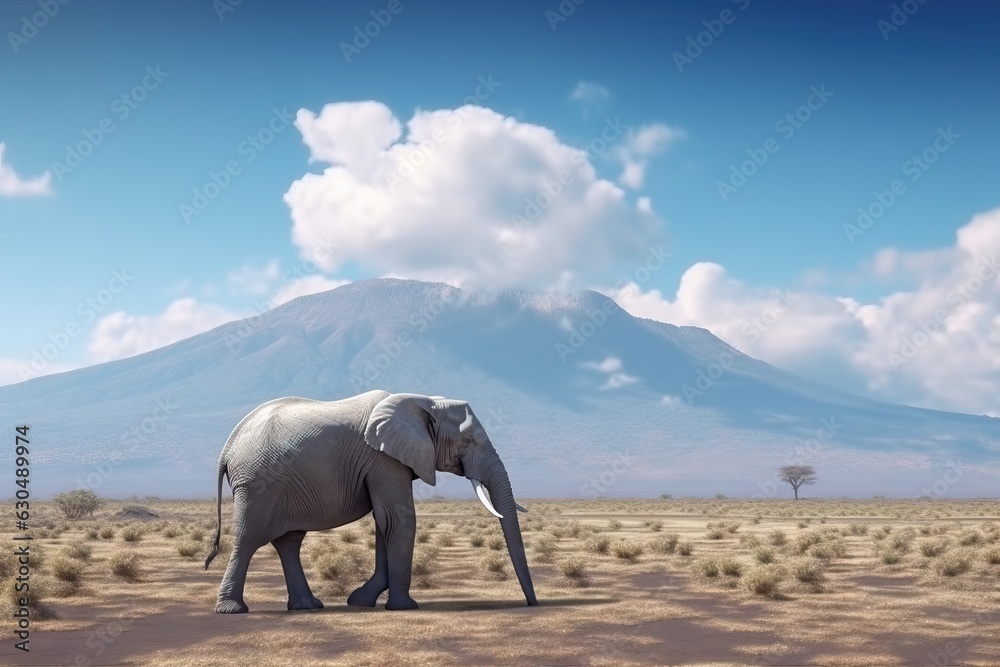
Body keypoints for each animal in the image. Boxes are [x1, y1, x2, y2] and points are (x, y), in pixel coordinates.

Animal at [204, 389, 538, 613]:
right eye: (466, 441)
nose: (532, 604)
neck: (423, 400)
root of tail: (227, 448)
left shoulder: (386, 459)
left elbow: (384, 522)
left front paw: (360, 600)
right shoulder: (383, 458)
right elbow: (398, 518)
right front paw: (404, 607)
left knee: (289, 542)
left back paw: (308, 606)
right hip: (258, 484)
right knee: (248, 538)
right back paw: (233, 610)